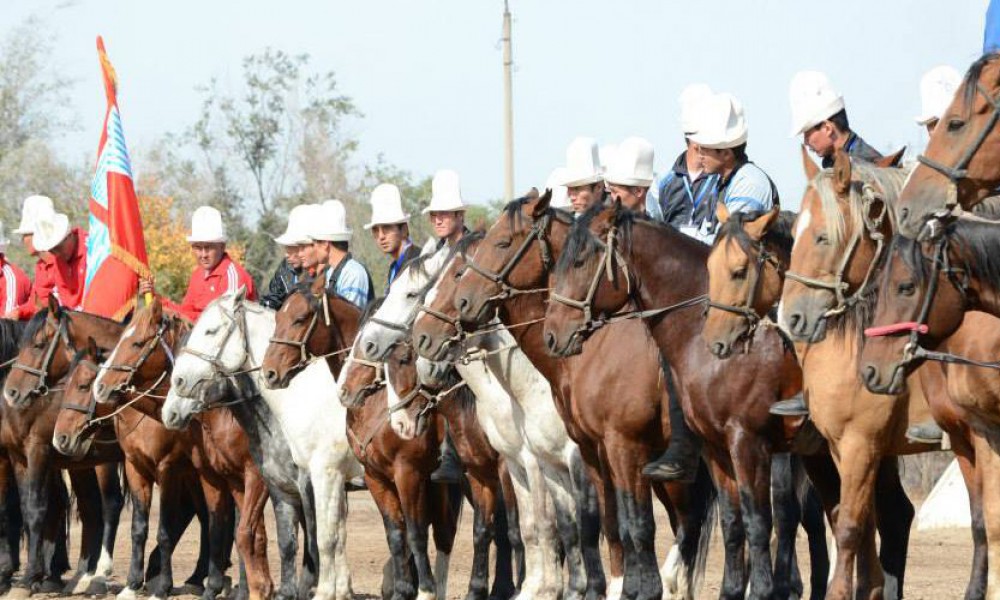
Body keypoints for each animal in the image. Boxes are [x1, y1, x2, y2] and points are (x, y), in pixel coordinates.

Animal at [51, 338, 216, 600]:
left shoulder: (168, 470)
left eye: (84, 386)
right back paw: (197, 578)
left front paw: (163, 587)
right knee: (204, 515)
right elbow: (138, 529)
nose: (61, 439)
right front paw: (133, 584)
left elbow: (164, 530)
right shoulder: (135, 468)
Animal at [162, 290, 366, 600]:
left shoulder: (312, 481)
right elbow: (283, 541)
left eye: (211, 330)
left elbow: (316, 540)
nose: (171, 410)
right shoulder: (280, 487)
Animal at [354, 247, 600, 600]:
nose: (399, 423)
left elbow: (527, 527)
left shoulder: (525, 464)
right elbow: (493, 529)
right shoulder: (484, 471)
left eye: (412, 293)